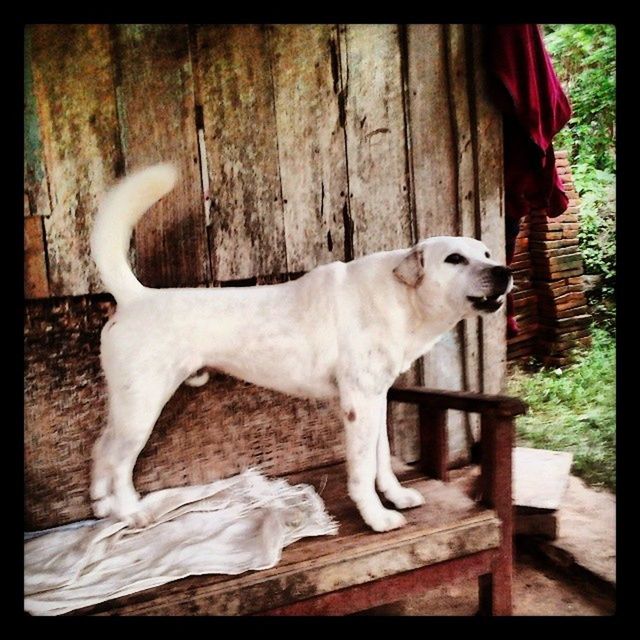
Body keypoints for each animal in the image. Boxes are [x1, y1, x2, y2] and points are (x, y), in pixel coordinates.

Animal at [90, 162, 512, 532]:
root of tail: (135, 296)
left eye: (486, 254)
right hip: (142, 409)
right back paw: (130, 513)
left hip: (127, 406)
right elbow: (362, 471)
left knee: (101, 447)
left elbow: (382, 459)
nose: (504, 272)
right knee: (117, 461)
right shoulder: (358, 404)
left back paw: (103, 505)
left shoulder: (377, 398)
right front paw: (377, 518)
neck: (402, 297)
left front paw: (397, 497)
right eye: (454, 259)